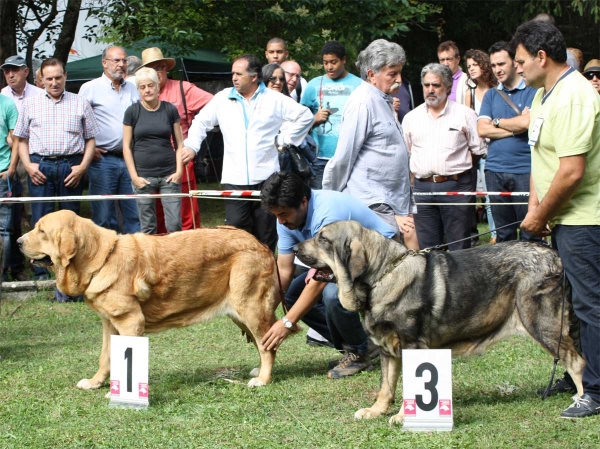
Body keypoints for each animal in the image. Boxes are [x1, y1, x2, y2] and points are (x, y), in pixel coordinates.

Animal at [18, 210, 278, 388]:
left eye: (42, 231)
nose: (19, 242)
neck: (100, 259)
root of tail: (260, 244)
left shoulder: (130, 322)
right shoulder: (110, 324)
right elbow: (105, 358)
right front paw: (95, 383)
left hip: (249, 308)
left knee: (267, 345)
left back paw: (263, 379)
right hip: (241, 313)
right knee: (265, 343)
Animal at [296, 220, 584, 424]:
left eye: (323, 239)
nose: (295, 248)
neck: (381, 276)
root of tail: (554, 256)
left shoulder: (411, 346)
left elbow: (410, 387)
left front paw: (403, 416)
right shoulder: (389, 350)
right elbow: (386, 386)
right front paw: (375, 411)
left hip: (542, 323)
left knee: (577, 362)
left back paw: (581, 401)